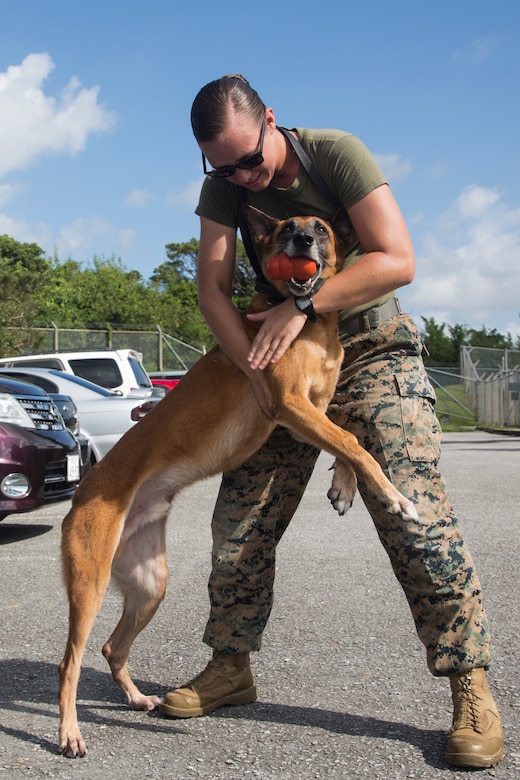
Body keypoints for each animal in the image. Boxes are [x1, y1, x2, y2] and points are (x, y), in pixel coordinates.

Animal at [57, 206, 416, 756]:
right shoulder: (289, 405)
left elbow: (349, 431)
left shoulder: (314, 406)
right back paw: (70, 732)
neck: (309, 322)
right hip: (90, 584)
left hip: (150, 585)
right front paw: (393, 496)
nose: (301, 239)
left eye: (321, 229)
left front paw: (344, 485)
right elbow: (354, 440)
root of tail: (78, 500)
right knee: (69, 663)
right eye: (287, 226)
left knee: (111, 647)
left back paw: (138, 699)